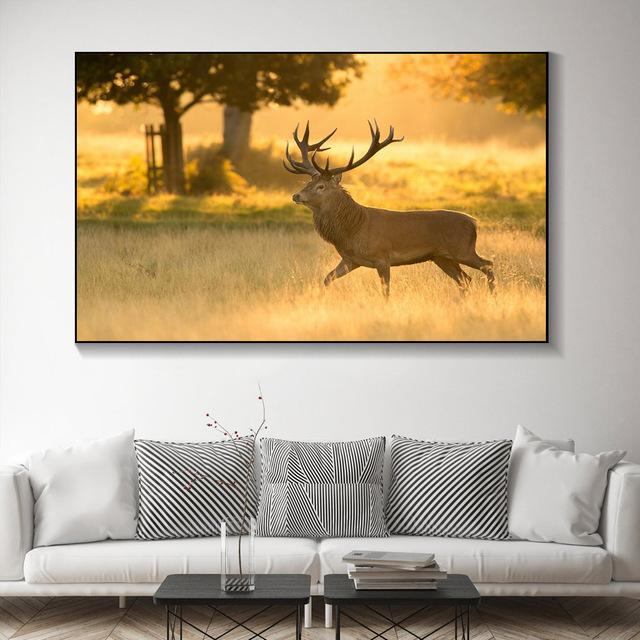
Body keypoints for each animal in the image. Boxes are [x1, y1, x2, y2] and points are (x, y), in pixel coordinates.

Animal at [283, 121, 495, 297]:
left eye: (321, 186)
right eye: (308, 182)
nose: (296, 196)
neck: (353, 229)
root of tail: (474, 222)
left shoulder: (382, 257)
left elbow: (386, 291)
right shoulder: (350, 260)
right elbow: (327, 278)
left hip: (463, 249)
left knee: (488, 265)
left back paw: (492, 296)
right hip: (441, 257)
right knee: (465, 280)